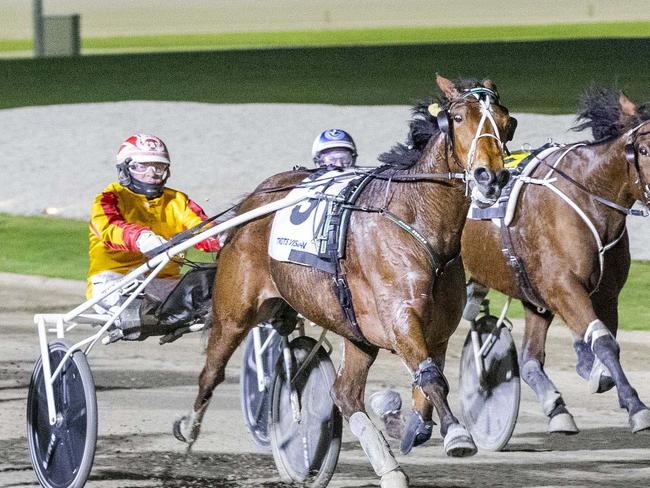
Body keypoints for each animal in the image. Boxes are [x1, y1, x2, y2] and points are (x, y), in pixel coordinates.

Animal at [175, 74, 512, 486]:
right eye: (460, 117)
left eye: (506, 121)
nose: (489, 176)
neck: (417, 221)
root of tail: (255, 198)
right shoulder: (401, 319)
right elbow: (432, 380)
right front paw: (458, 435)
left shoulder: (436, 331)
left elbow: (425, 388)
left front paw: (408, 425)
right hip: (235, 310)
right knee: (212, 372)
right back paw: (189, 429)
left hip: (356, 333)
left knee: (345, 393)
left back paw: (389, 469)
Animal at [460, 86, 648, 434]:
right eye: (642, 149)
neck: (588, 198)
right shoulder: (562, 286)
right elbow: (603, 342)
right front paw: (636, 406)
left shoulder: (605, 293)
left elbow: (604, 343)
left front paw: (593, 369)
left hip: (530, 294)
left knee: (529, 358)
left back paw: (556, 407)